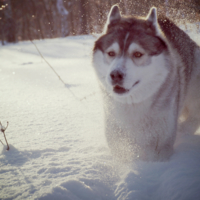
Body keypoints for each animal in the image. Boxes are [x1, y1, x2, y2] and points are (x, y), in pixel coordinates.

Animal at [92, 5, 200, 161]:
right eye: (111, 53)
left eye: (137, 54)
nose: (116, 75)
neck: (132, 105)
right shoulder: (118, 139)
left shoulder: (162, 145)